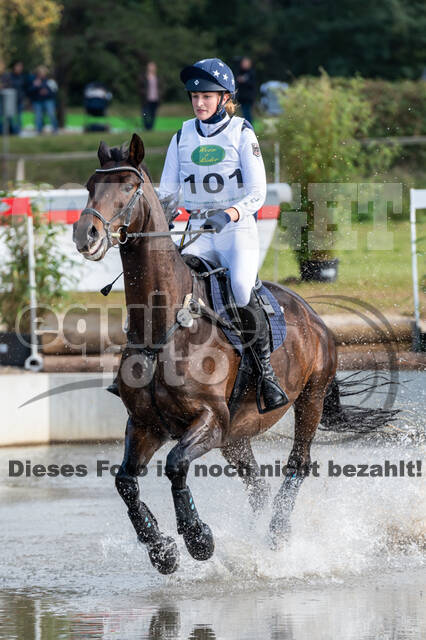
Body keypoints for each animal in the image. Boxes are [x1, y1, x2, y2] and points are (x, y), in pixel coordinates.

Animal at [73, 135, 396, 576]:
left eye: (127, 186)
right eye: (91, 185)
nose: (85, 234)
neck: (163, 327)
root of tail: (313, 315)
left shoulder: (209, 420)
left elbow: (175, 464)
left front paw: (198, 539)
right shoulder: (144, 424)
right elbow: (125, 481)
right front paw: (161, 549)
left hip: (308, 399)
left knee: (298, 463)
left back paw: (277, 535)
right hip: (236, 436)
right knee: (255, 482)